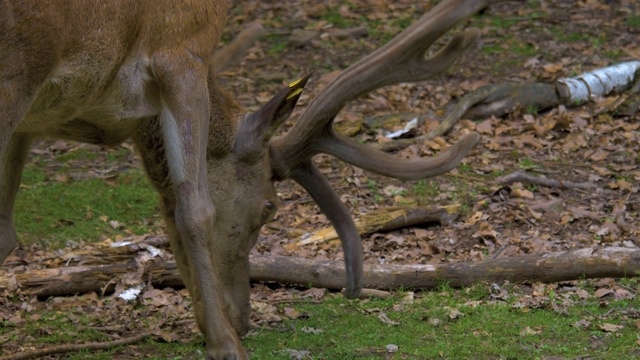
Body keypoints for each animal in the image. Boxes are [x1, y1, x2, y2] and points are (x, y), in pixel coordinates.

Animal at [0, 0, 498, 358]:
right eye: (269, 206)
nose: (242, 317)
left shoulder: (29, 123)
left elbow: (7, 231)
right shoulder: (183, 50)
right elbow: (195, 210)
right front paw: (225, 345)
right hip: (19, 65)